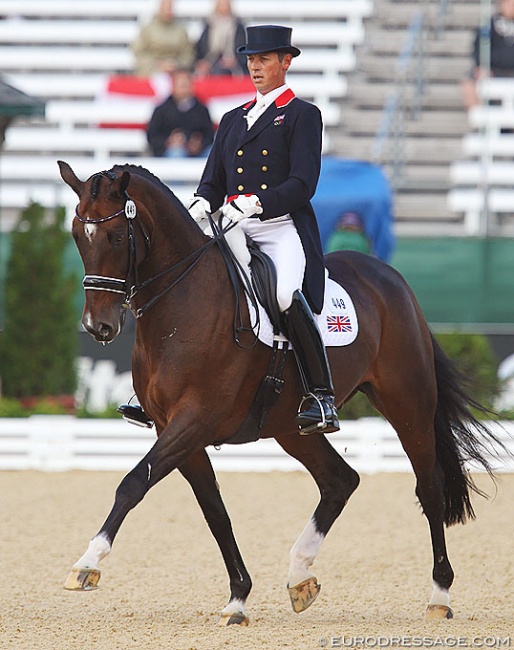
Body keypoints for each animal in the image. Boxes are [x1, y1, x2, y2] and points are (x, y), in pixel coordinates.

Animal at [59, 161, 500, 624]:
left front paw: (86, 564)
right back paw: (299, 576)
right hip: (290, 425)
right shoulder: (176, 430)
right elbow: (215, 511)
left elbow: (132, 483)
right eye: (76, 234)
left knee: (428, 486)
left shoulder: (195, 419)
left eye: (115, 236)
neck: (184, 303)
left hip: (407, 404)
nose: (97, 326)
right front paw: (237, 598)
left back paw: (439, 595)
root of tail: (391, 278)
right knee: (340, 480)